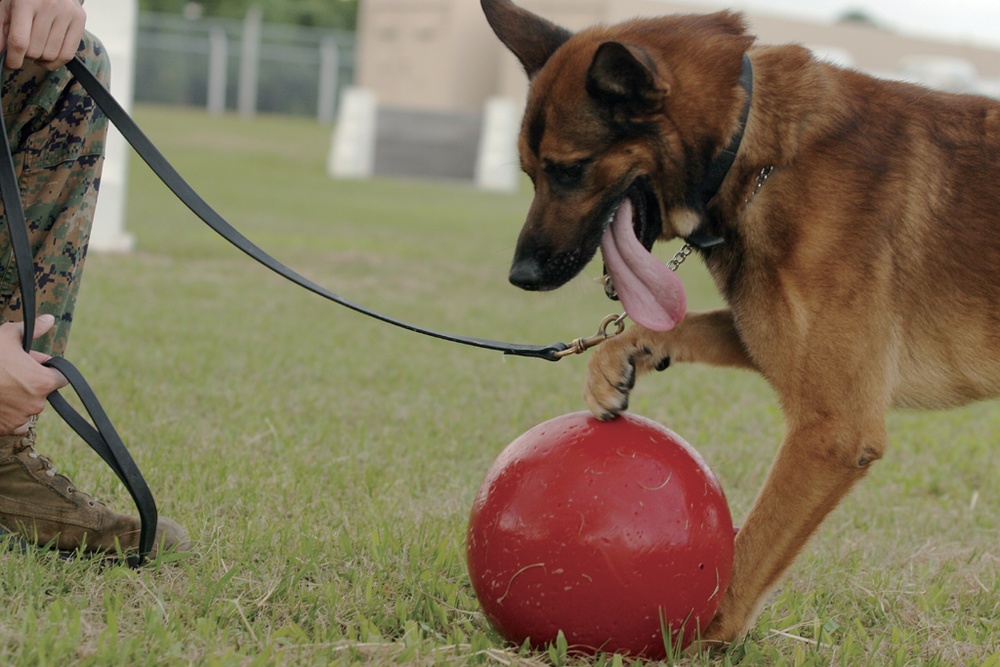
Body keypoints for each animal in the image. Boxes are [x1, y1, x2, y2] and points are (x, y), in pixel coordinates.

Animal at [482, 0, 1000, 648]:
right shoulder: (769, 334)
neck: (755, 146)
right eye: (531, 174)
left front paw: (689, 641)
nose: (520, 275)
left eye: (569, 171)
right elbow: (685, 322)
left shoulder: (833, 430)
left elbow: (744, 559)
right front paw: (616, 359)